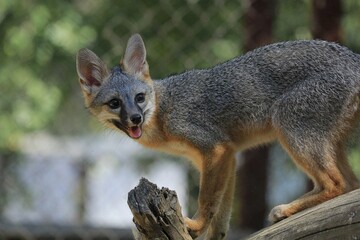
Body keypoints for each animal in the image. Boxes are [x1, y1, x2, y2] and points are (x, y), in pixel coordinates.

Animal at [76, 34, 360, 240]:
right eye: (115, 104)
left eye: (139, 98)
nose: (135, 118)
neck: (165, 109)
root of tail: (354, 58)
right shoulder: (228, 156)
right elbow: (221, 214)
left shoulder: (215, 149)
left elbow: (207, 201)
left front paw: (195, 225)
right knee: (350, 184)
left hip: (289, 128)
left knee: (337, 185)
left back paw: (287, 209)